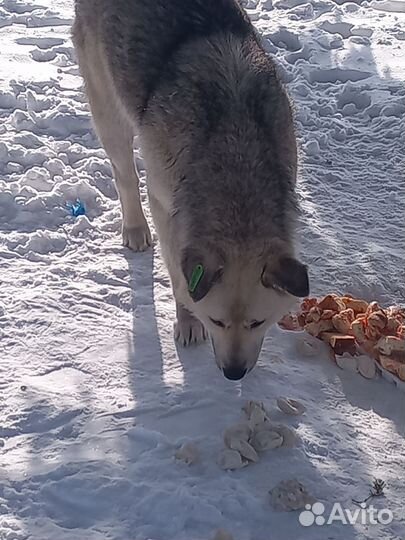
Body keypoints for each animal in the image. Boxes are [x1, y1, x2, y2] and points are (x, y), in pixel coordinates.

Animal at [72, 0, 310, 380]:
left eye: (259, 322)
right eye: (216, 321)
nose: (234, 373)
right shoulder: (167, 210)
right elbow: (179, 280)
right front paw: (186, 320)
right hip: (109, 110)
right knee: (124, 174)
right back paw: (134, 227)